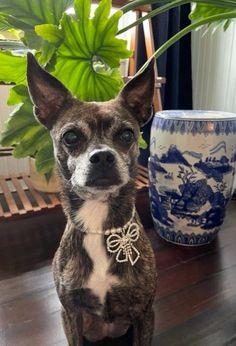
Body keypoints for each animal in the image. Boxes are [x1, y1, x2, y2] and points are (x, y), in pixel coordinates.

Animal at [26, 52, 157, 346]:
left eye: (127, 135)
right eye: (71, 136)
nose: (103, 156)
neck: (99, 224)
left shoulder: (144, 313)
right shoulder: (71, 313)